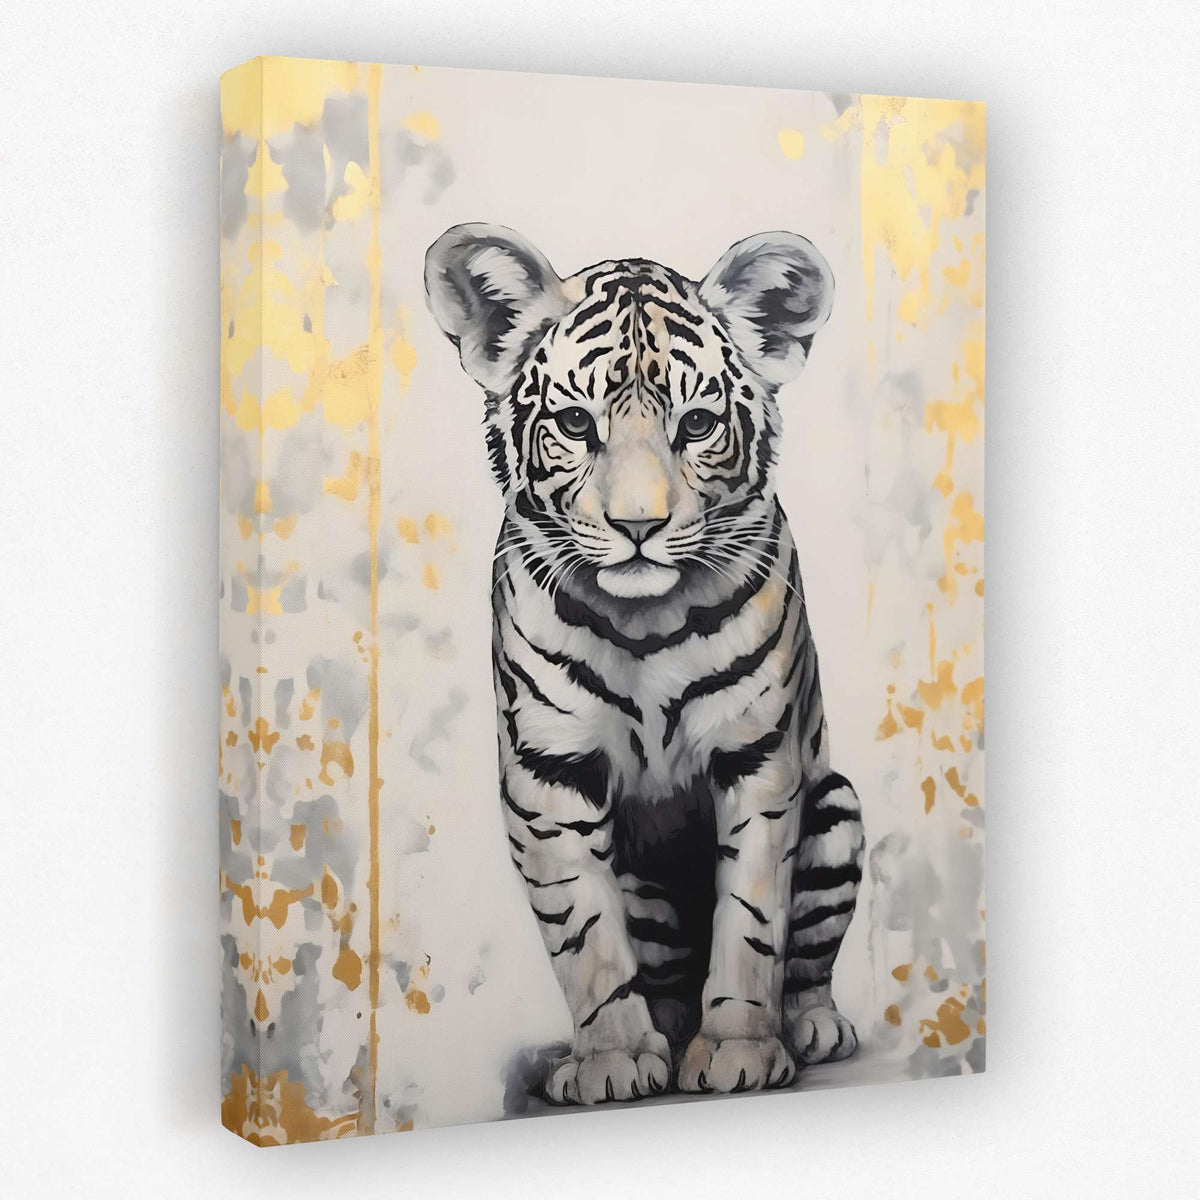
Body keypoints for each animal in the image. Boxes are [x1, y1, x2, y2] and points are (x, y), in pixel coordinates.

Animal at [425, 223, 865, 1105]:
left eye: (695, 425)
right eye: (573, 422)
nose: (637, 526)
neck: (643, 623)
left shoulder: (760, 760)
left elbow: (752, 921)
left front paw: (738, 1050)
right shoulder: (548, 774)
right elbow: (584, 934)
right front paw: (614, 1059)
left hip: (837, 807)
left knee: (806, 960)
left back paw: (809, 1026)